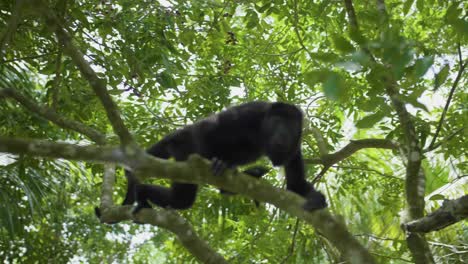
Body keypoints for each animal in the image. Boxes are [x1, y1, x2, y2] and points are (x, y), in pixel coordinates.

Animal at [122, 101, 328, 212]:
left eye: (291, 125)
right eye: (278, 122)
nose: (283, 133)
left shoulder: (295, 146)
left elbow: (295, 186)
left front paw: (317, 199)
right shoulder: (251, 113)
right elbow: (206, 127)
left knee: (182, 199)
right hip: (183, 151)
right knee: (182, 195)